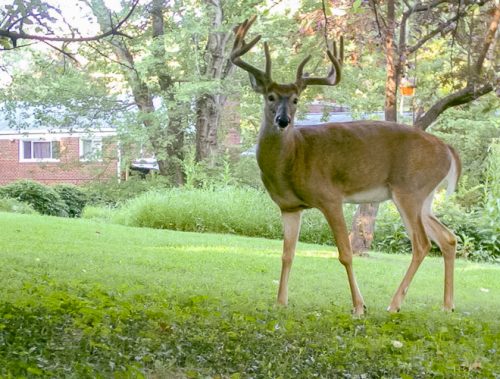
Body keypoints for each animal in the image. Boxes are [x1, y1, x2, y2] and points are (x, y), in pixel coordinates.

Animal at [230, 16, 460, 316]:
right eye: (270, 96)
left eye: (296, 99)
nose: (283, 120)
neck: (292, 159)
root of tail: (448, 149)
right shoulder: (289, 207)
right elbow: (287, 254)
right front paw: (280, 301)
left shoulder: (330, 196)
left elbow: (345, 253)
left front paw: (359, 306)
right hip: (425, 197)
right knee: (448, 238)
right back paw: (447, 305)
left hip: (410, 190)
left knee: (422, 243)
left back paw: (394, 304)